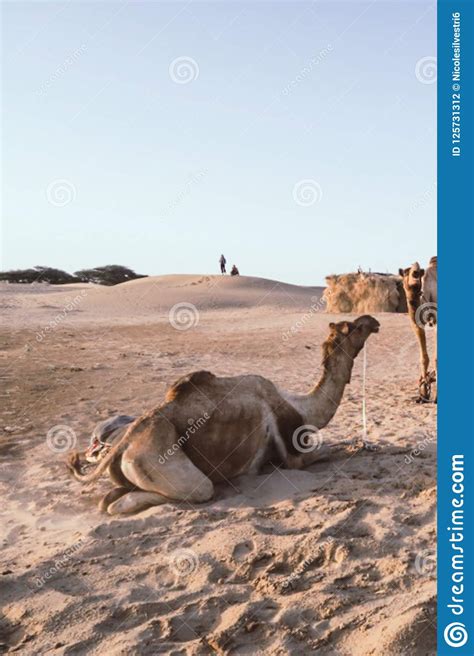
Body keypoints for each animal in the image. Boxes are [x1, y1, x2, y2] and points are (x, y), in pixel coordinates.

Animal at [66, 316, 380, 516]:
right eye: (354, 326)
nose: (374, 320)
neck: (302, 406)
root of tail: (125, 442)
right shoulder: (291, 452)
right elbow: (329, 449)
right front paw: (359, 444)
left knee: (107, 500)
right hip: (157, 461)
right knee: (194, 490)